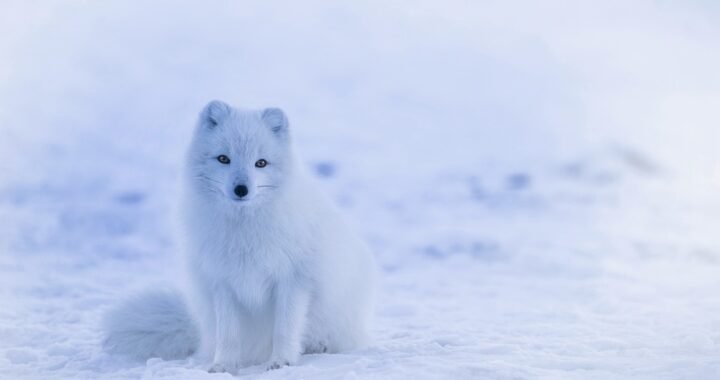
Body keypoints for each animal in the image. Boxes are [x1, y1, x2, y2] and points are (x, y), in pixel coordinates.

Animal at [105, 100, 382, 372]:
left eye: (261, 163)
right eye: (223, 158)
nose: (241, 189)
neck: (244, 230)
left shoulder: (293, 280)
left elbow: (284, 328)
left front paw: (282, 361)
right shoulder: (222, 282)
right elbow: (228, 334)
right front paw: (224, 365)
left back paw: (319, 346)